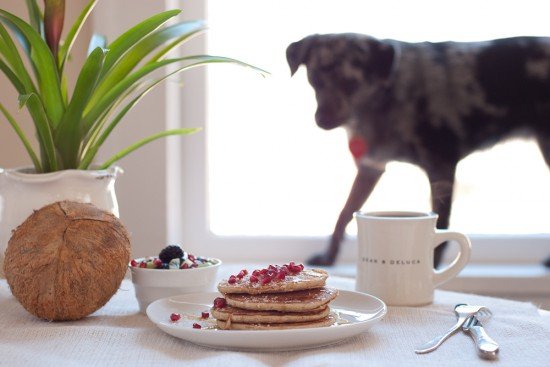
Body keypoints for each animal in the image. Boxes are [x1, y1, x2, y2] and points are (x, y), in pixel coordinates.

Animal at [286, 33, 550, 266]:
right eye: (315, 79)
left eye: (350, 83)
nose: (322, 120)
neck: (389, 96)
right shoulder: (371, 168)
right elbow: (345, 212)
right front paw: (329, 256)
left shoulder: (441, 169)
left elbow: (440, 231)